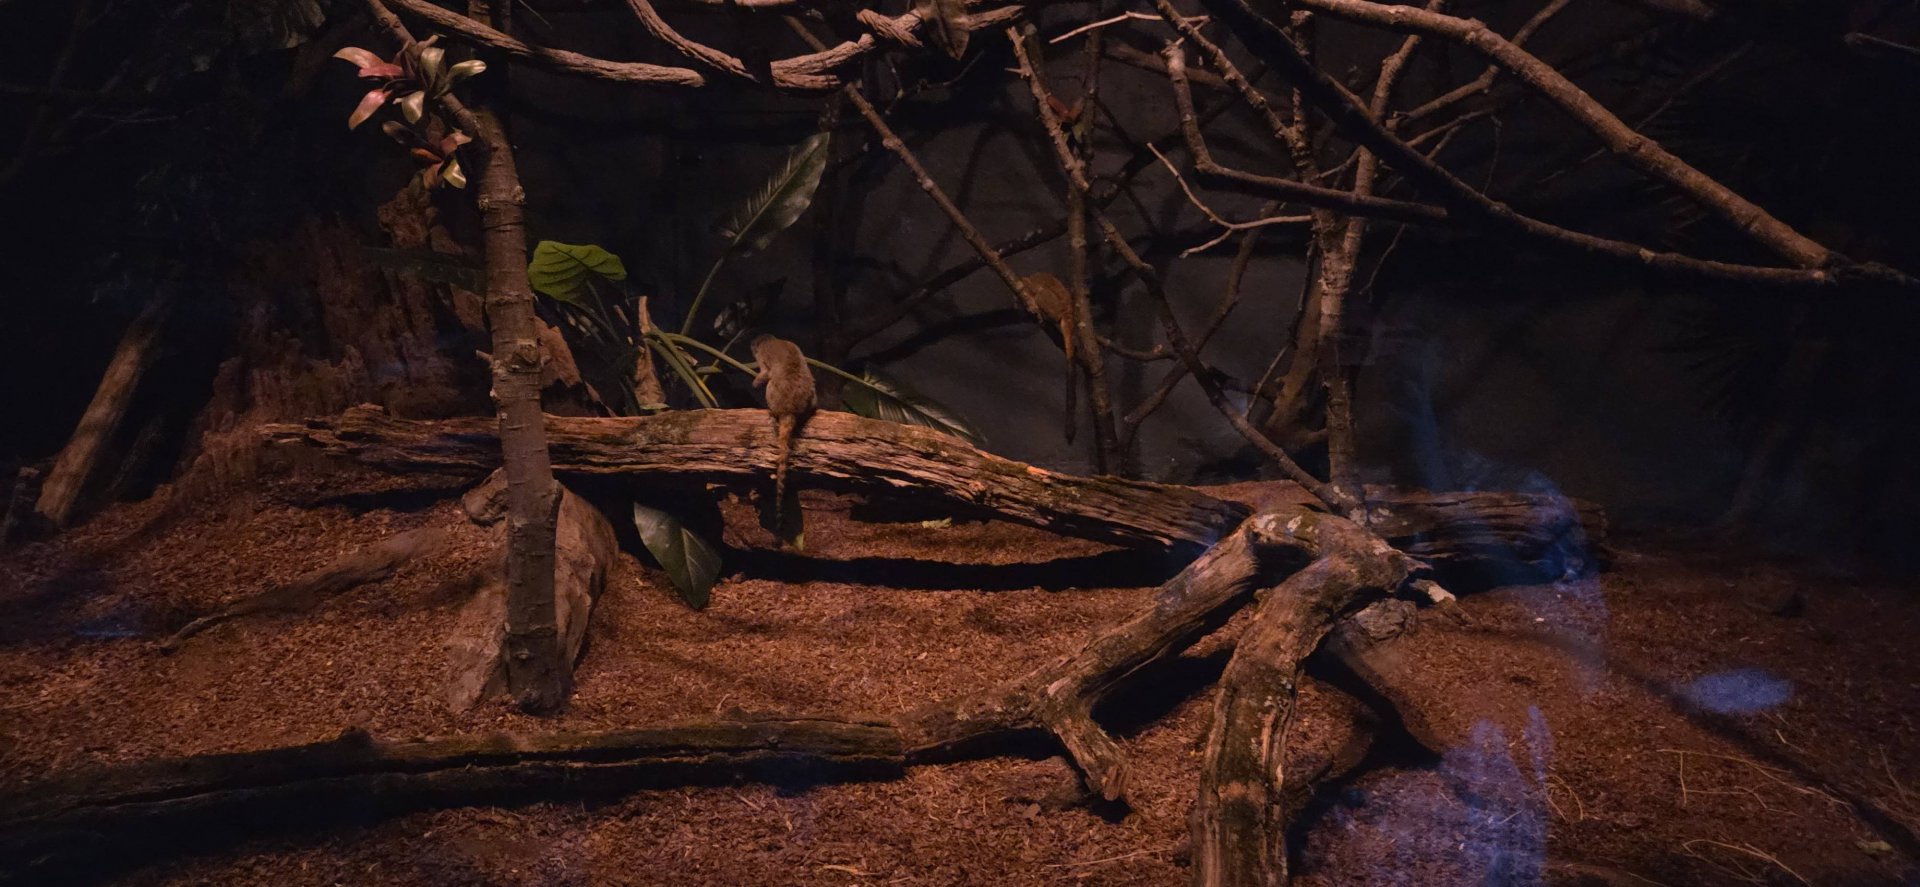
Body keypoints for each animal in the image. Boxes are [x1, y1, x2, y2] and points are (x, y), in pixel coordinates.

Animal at [750, 334, 817, 536]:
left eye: (754, 346)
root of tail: (790, 410)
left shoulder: (762, 356)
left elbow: (765, 373)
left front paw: (756, 382)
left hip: (776, 396)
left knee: (771, 382)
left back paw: (772, 413)